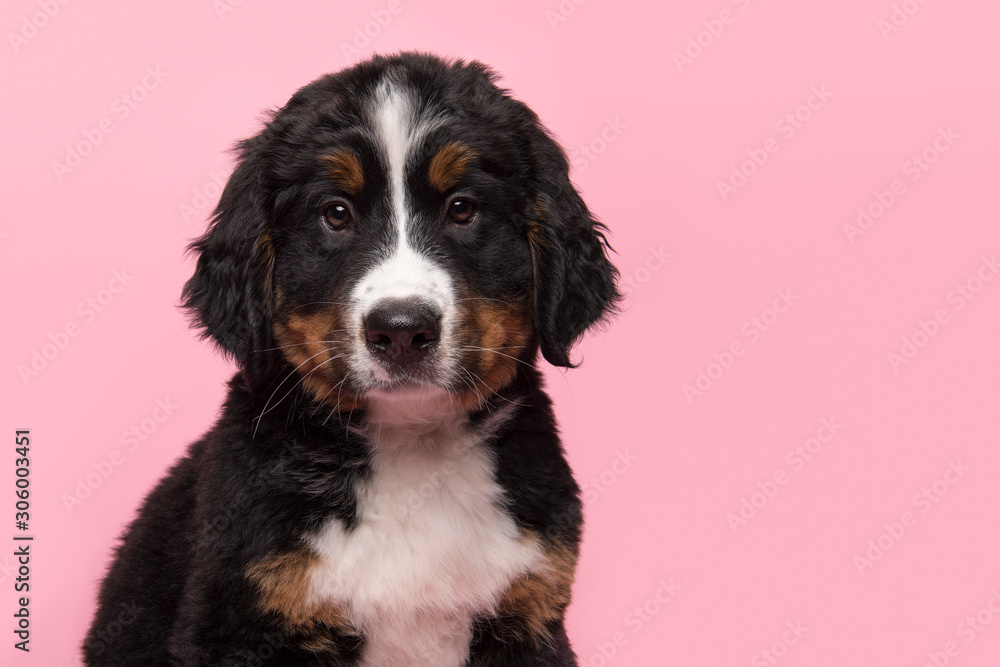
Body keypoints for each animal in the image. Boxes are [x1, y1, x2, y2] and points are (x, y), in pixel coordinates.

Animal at [84, 53, 616, 667]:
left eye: (463, 209)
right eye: (335, 214)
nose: (402, 330)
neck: (412, 446)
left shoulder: (528, 614)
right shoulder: (242, 620)